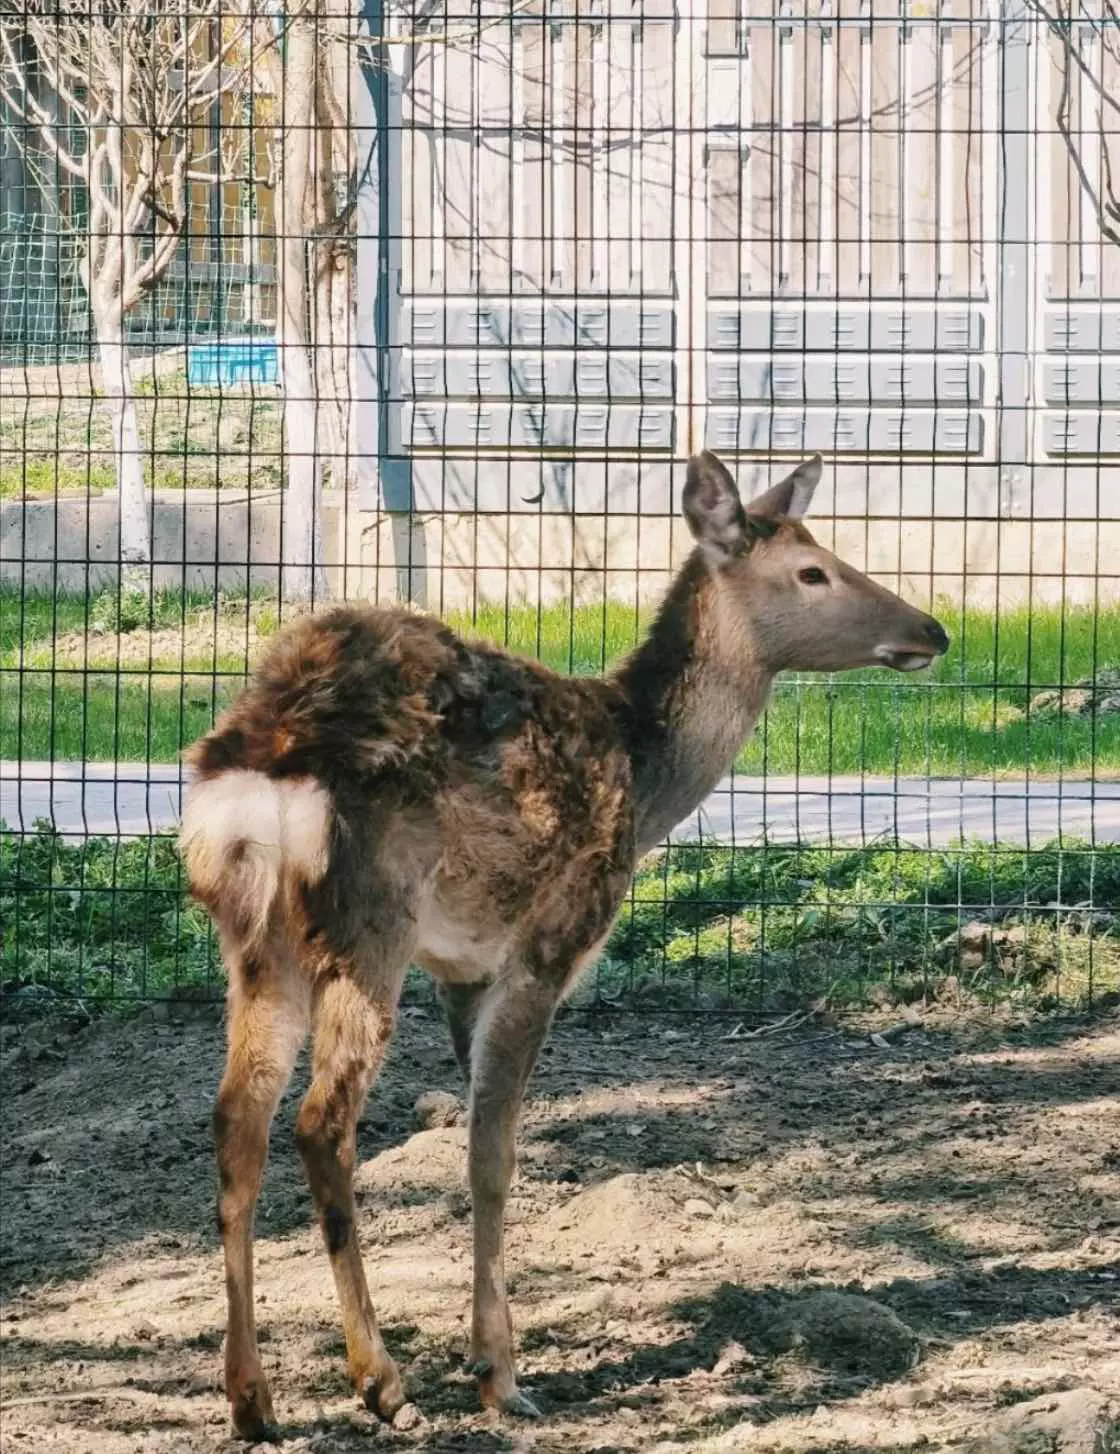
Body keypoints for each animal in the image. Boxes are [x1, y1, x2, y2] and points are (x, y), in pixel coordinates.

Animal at [178, 447, 948, 1436]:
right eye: (814, 570)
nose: (931, 628)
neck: (649, 782)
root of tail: (261, 766)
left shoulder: (459, 973)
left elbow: (476, 1142)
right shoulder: (544, 946)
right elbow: (493, 1156)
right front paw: (499, 1373)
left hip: (254, 942)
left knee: (236, 1119)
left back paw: (251, 1398)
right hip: (369, 926)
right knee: (320, 1124)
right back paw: (380, 1380)